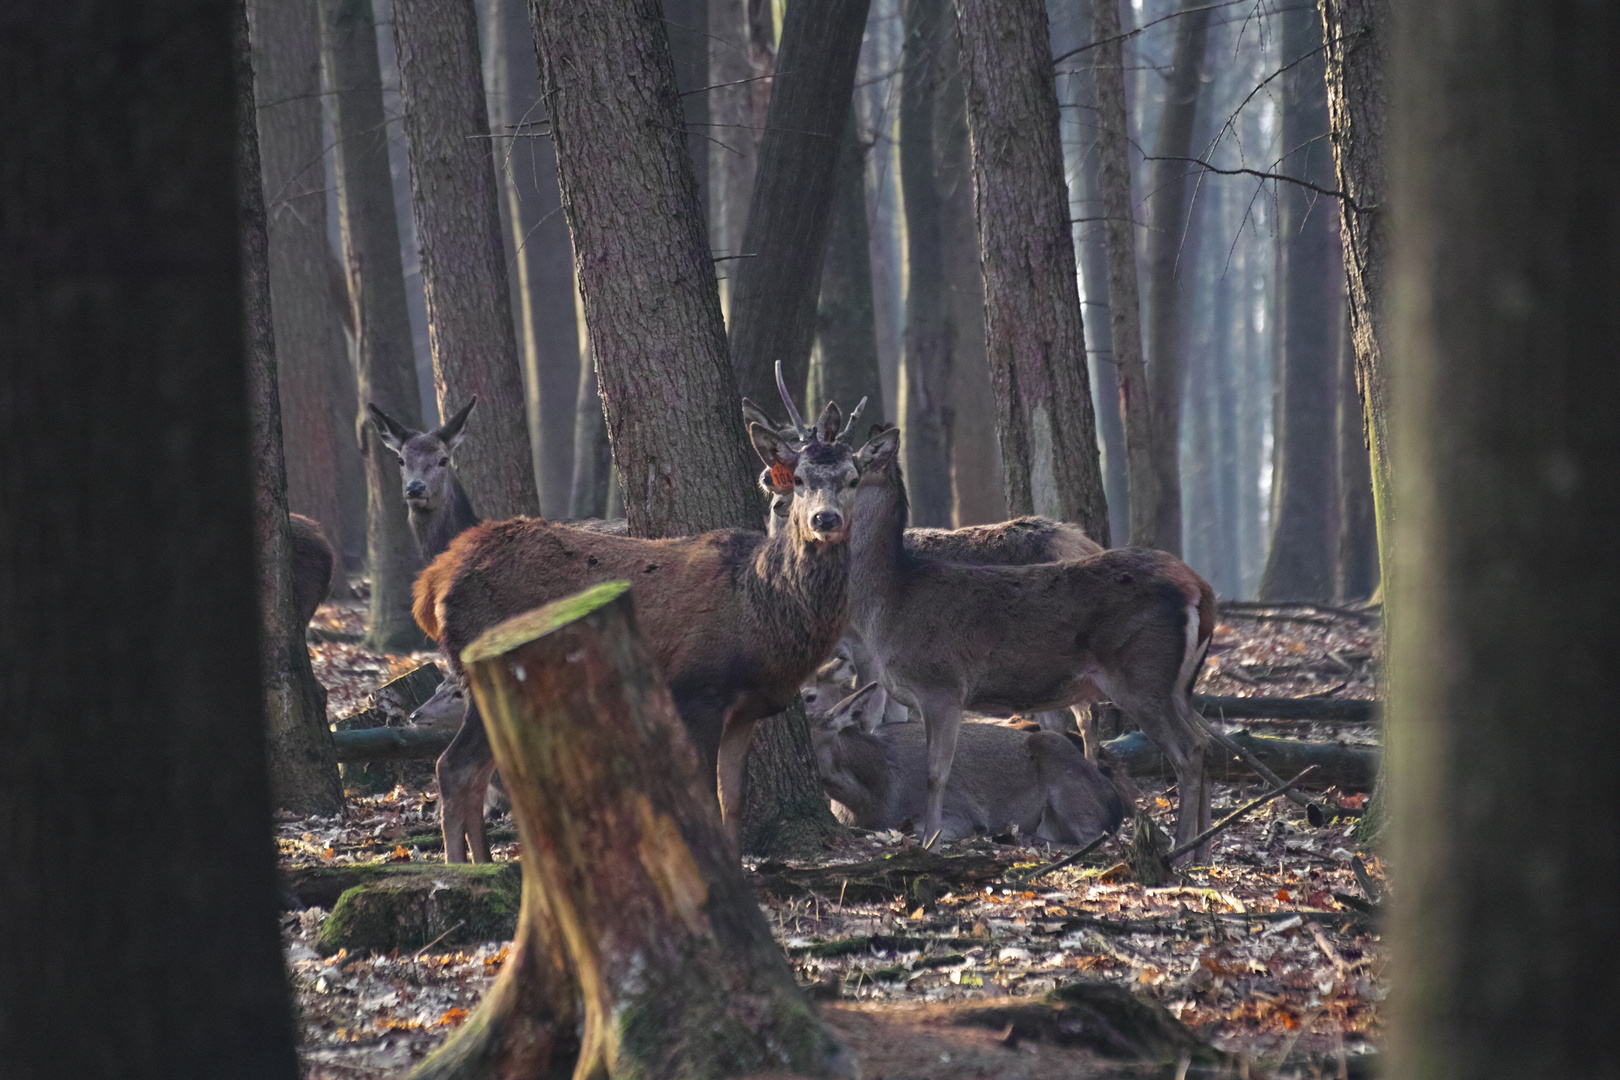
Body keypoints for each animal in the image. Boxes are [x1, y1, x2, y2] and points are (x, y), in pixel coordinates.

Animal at [414, 386, 861, 861]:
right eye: (799, 480)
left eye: (854, 479)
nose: (825, 519)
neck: (761, 609)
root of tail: (433, 580)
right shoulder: (697, 690)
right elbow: (706, 794)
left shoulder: (745, 708)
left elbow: (733, 800)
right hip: (489, 669)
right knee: (454, 767)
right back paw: (465, 869)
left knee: (475, 771)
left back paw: (481, 864)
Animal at [848, 420, 1218, 861]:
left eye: (847, 474)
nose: (820, 519)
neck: (891, 601)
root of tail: (1201, 590)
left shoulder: (941, 685)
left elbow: (935, 770)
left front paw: (930, 842)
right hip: (1177, 685)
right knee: (1206, 742)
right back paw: (1204, 850)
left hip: (1141, 675)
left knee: (1188, 751)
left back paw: (1182, 850)